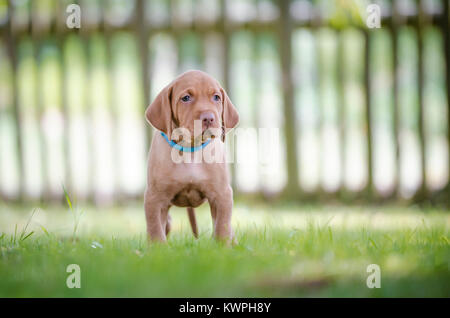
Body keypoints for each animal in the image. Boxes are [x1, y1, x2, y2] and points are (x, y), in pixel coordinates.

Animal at [146, 69, 241, 243]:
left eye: (216, 97)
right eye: (186, 98)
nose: (208, 118)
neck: (190, 149)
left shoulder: (222, 194)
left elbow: (222, 228)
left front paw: (223, 247)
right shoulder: (154, 198)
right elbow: (155, 230)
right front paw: (158, 249)